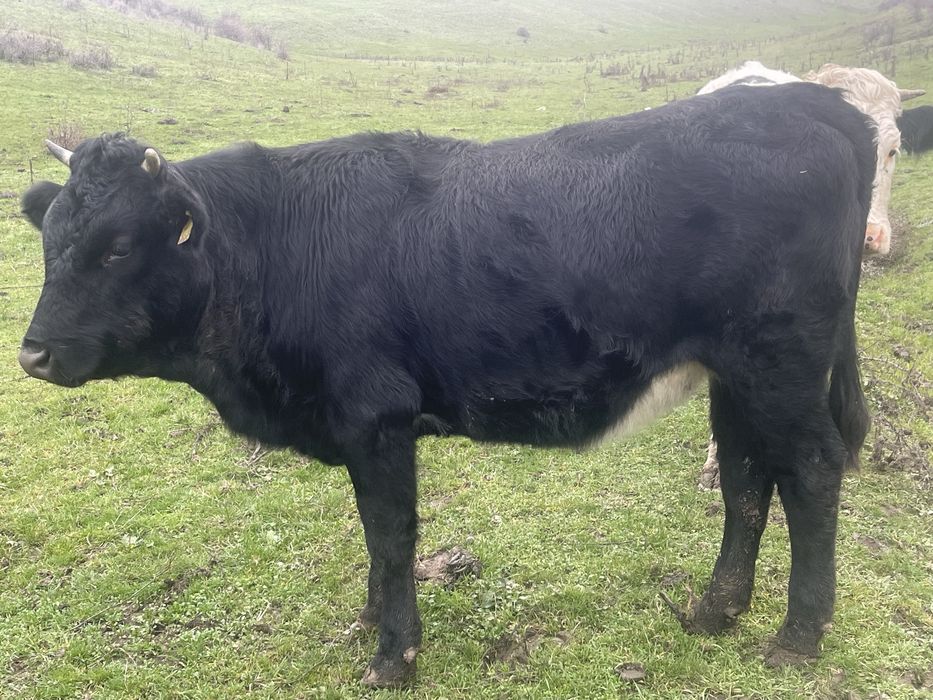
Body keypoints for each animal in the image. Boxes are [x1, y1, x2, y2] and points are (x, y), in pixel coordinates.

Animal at [19, 83, 873, 687]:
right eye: (51, 241)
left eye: (117, 247)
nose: (32, 354)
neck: (276, 247)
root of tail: (807, 102)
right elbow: (375, 536)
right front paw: (370, 618)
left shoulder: (375, 418)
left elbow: (391, 534)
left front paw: (393, 654)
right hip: (738, 374)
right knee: (744, 474)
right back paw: (714, 610)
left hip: (780, 364)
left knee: (809, 470)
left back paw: (796, 636)